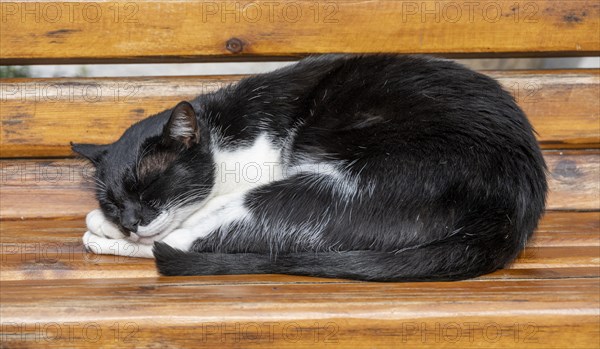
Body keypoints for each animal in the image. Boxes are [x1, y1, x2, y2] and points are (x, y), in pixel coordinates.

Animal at [72, 55, 548, 282]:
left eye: (151, 188)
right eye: (115, 202)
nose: (129, 222)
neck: (222, 134)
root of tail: (512, 210)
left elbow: (181, 227)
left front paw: (104, 229)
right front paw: (106, 222)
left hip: (312, 191)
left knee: (186, 243)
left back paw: (104, 240)